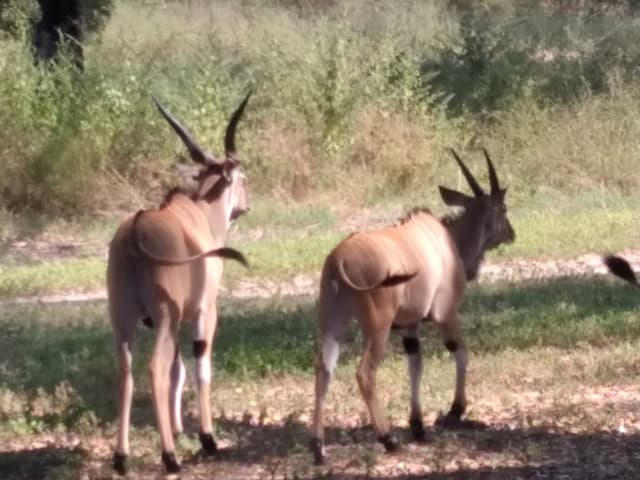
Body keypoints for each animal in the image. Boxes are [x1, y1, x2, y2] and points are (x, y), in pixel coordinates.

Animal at [107, 92, 250, 474]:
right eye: (243, 176)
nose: (245, 205)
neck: (199, 213)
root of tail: (135, 233)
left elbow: (178, 371)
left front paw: (178, 429)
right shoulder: (204, 311)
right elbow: (200, 368)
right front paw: (207, 438)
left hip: (124, 320)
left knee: (125, 372)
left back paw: (122, 457)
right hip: (165, 319)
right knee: (154, 368)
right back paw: (169, 457)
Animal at [308, 148, 516, 464]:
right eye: (503, 208)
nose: (512, 234)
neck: (448, 242)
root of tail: (338, 259)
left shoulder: (410, 325)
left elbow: (415, 364)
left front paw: (418, 426)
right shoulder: (445, 314)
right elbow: (460, 351)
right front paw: (454, 411)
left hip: (333, 323)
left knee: (324, 367)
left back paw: (319, 447)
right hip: (378, 328)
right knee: (365, 373)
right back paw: (387, 438)